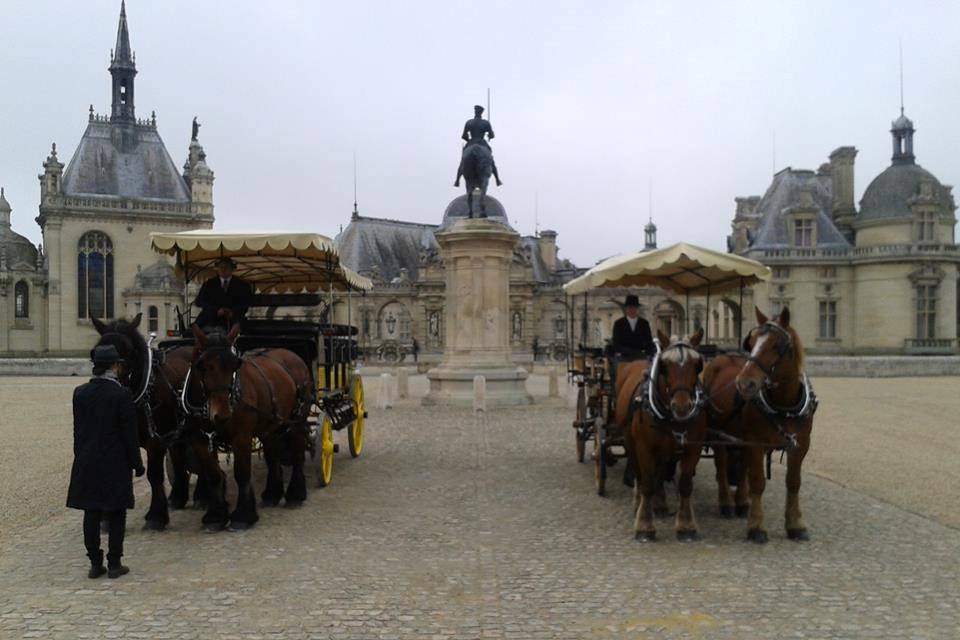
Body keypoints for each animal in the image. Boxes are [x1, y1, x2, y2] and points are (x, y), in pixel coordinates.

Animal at [91, 316, 201, 528]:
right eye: (95, 351)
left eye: (128, 350)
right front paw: (109, 518)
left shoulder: (155, 441)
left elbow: (154, 475)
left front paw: (157, 516)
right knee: (180, 456)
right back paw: (178, 496)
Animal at [191, 324, 316, 528]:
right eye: (202, 365)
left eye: (235, 365)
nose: (223, 415)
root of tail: (291, 354)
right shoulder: (200, 439)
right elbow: (213, 475)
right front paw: (215, 516)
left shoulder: (242, 436)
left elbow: (241, 473)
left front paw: (243, 515)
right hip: (271, 426)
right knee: (273, 457)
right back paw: (272, 494)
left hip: (297, 419)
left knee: (298, 453)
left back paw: (295, 495)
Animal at [616, 328, 704, 544]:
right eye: (664, 366)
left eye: (697, 364)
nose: (681, 406)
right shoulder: (644, 448)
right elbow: (647, 483)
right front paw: (644, 525)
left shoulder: (692, 448)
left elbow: (685, 485)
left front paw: (686, 526)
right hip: (630, 442)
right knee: (639, 474)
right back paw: (639, 503)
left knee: (661, 472)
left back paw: (660, 504)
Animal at [700, 308, 812, 544]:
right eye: (750, 344)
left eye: (776, 345)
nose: (744, 384)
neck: (783, 405)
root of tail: (721, 356)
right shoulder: (756, 442)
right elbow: (758, 482)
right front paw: (757, 527)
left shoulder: (800, 445)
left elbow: (793, 482)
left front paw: (795, 524)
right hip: (719, 434)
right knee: (721, 466)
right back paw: (726, 503)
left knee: (742, 468)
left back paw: (742, 502)